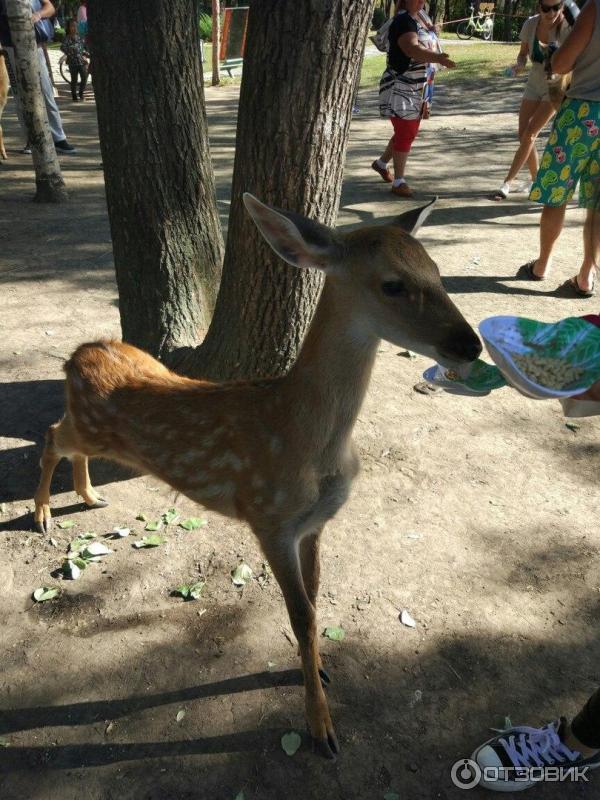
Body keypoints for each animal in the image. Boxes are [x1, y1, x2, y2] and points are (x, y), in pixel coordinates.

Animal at [34, 194, 482, 756]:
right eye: (393, 283)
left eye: (438, 272)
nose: (471, 345)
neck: (307, 440)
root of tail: (77, 352)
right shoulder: (269, 519)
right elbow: (301, 615)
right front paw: (321, 727)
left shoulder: (313, 524)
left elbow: (315, 600)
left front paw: (321, 671)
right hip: (89, 428)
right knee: (51, 434)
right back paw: (44, 515)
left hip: (93, 430)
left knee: (61, 436)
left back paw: (90, 496)